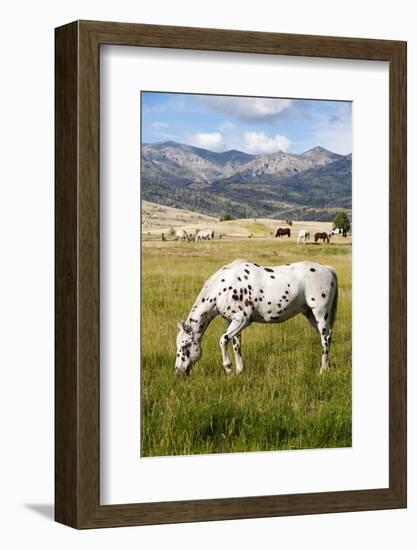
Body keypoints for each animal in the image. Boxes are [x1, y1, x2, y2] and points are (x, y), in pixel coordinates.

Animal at [174, 260, 336, 378]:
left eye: (185, 346)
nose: (178, 371)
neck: (222, 288)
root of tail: (328, 269)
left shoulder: (242, 320)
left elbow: (222, 340)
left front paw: (229, 369)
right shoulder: (232, 321)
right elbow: (236, 345)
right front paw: (239, 370)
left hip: (320, 313)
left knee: (325, 338)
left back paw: (323, 370)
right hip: (310, 314)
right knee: (327, 337)